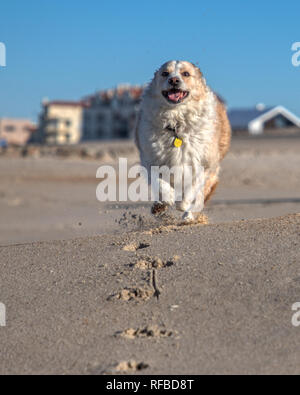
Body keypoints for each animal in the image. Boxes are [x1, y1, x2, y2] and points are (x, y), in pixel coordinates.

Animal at [136, 61, 232, 223]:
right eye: (165, 73)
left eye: (186, 74)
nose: (174, 80)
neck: (177, 125)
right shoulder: (150, 158)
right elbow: (159, 182)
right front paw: (166, 199)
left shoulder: (203, 164)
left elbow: (192, 189)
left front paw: (183, 204)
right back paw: (159, 206)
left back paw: (188, 216)